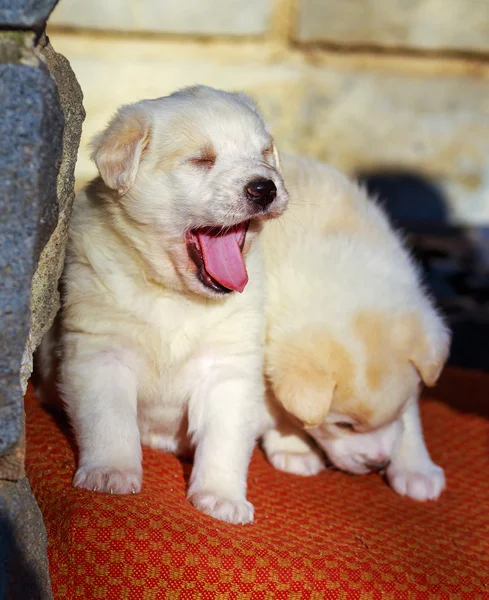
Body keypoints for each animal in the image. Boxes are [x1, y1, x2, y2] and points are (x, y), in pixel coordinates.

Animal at [41, 86, 290, 524]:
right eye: (202, 160)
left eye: (264, 154)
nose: (265, 188)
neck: (177, 297)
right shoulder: (100, 351)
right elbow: (110, 421)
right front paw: (110, 473)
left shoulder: (229, 369)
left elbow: (225, 439)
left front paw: (221, 497)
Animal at [262, 154, 448, 502]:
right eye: (343, 426)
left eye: (399, 410)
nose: (379, 463)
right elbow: (278, 406)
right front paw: (293, 447)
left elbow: (410, 419)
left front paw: (415, 468)